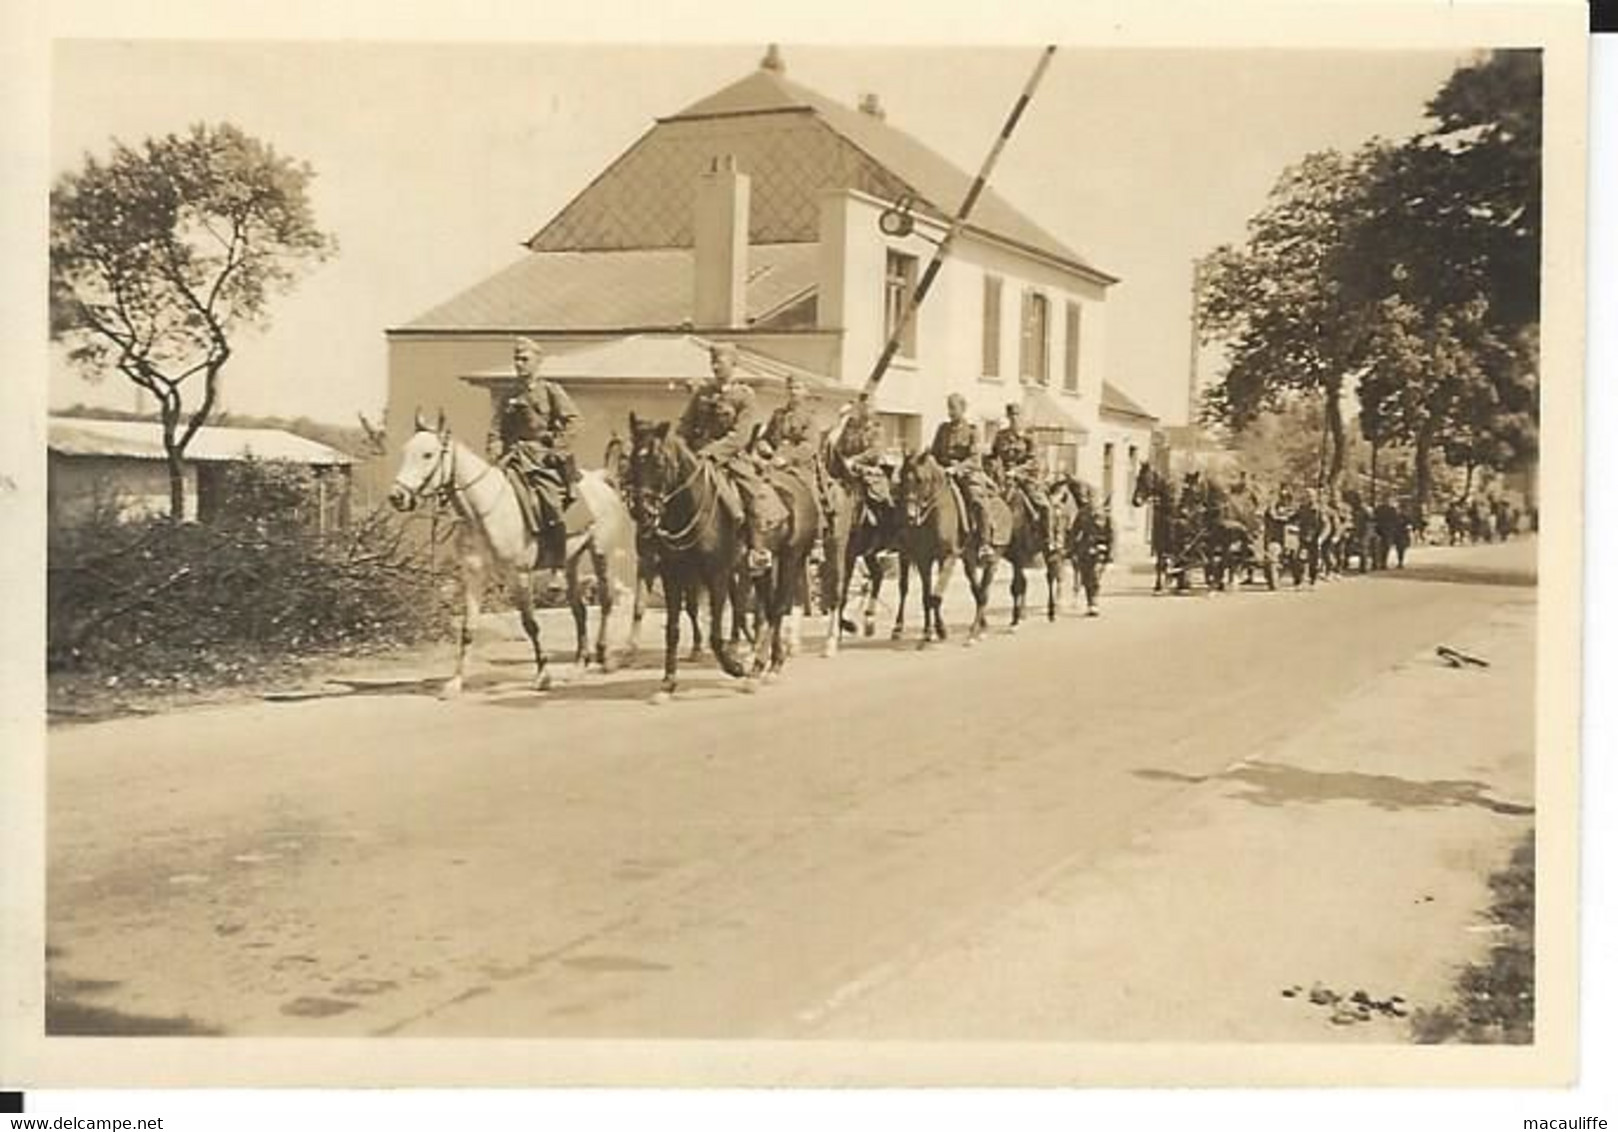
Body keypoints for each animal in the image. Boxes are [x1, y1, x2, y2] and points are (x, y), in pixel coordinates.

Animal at [391, 413, 637, 695]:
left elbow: (530, 624)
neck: (483, 511)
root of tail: (600, 478)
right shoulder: (474, 575)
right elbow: (468, 628)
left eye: (428, 455)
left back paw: (604, 657)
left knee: (606, 602)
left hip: (601, 554)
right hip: (571, 562)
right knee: (580, 610)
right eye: (404, 452)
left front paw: (543, 676)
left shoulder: (518, 575)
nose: (397, 497)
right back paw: (579, 665)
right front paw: (455, 682)